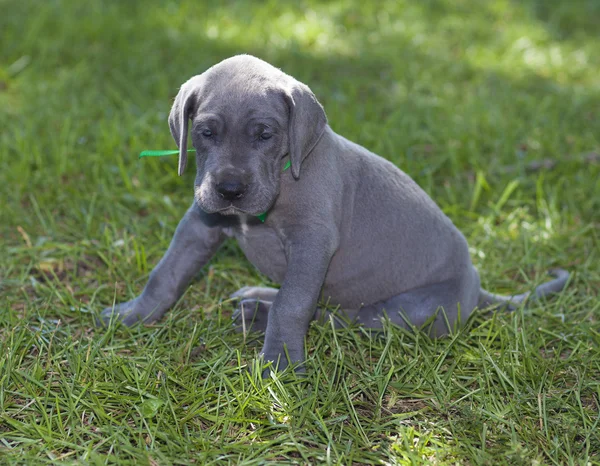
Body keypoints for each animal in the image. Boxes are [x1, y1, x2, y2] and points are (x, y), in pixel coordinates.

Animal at [101, 54, 568, 374]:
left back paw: (259, 317)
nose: (230, 190)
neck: (285, 175)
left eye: (265, 134)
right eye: (205, 132)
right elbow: (166, 272)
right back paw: (257, 297)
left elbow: (293, 305)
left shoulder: (312, 245)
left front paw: (281, 364)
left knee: (345, 318)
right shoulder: (200, 224)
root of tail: (477, 286)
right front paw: (134, 314)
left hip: (411, 310)